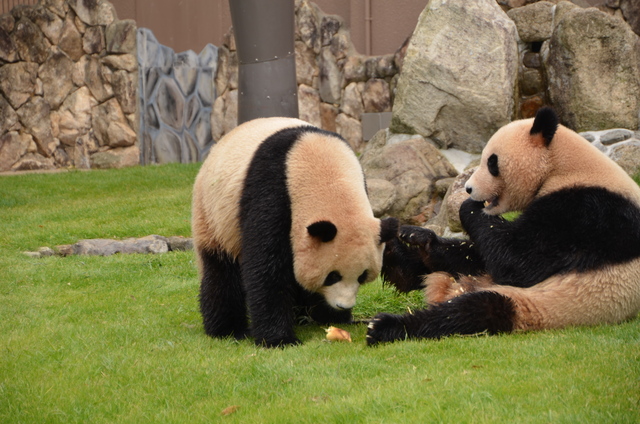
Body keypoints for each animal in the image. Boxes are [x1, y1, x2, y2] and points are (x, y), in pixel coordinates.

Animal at [192, 117, 398, 348]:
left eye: (362, 276)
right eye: (332, 276)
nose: (343, 306)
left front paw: (332, 318)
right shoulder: (272, 190)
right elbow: (266, 265)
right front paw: (279, 339)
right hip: (214, 216)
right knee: (221, 271)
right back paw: (229, 329)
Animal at [364, 107, 640, 346]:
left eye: (492, 162)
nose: (469, 188)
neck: (564, 166)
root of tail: (453, 290)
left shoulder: (587, 212)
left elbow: (520, 261)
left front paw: (469, 205)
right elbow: (490, 252)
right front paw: (419, 235)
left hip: (539, 305)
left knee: (475, 310)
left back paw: (386, 326)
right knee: (448, 265)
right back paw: (402, 250)